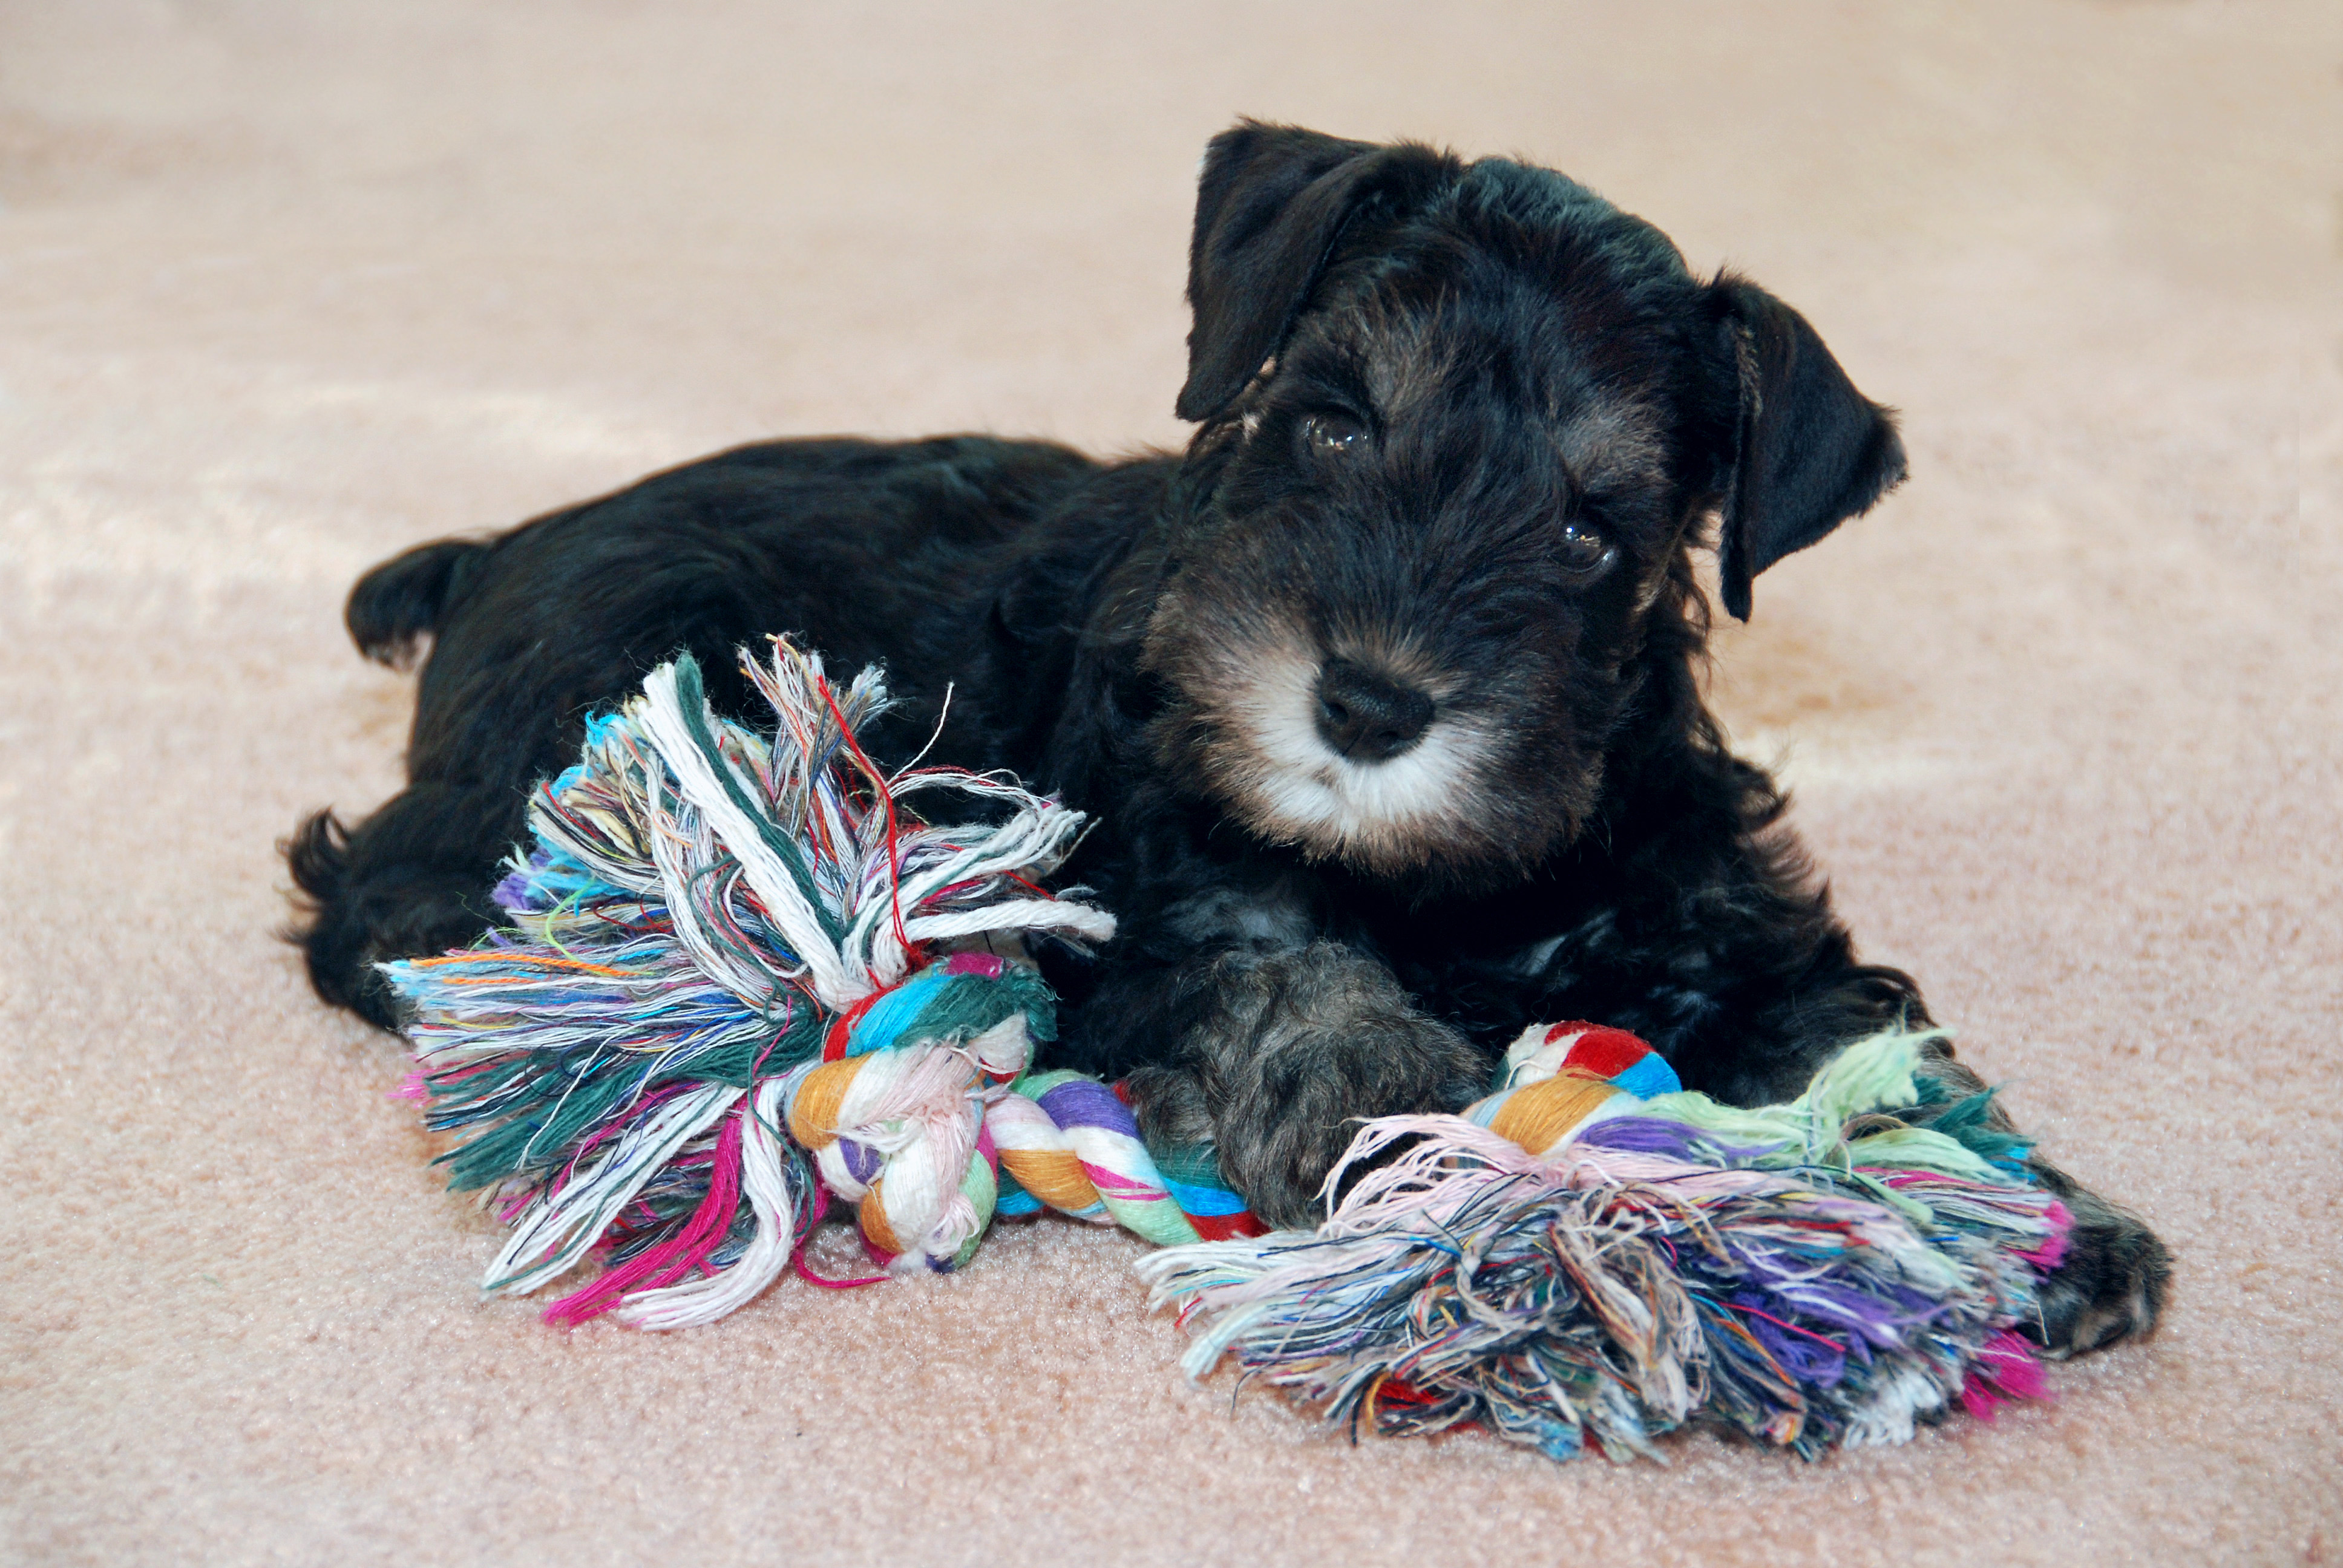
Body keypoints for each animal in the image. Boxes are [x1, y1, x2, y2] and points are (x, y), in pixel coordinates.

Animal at [293, 122, 2174, 1350]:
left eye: (1594, 527)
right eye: (1332, 421)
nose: (1369, 706)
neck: (1458, 878)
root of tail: (498, 548)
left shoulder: (1724, 919)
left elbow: (1858, 1038)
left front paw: (2030, 1217)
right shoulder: (1155, 886)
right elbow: (1278, 965)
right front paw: (1385, 1090)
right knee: (390, 894)